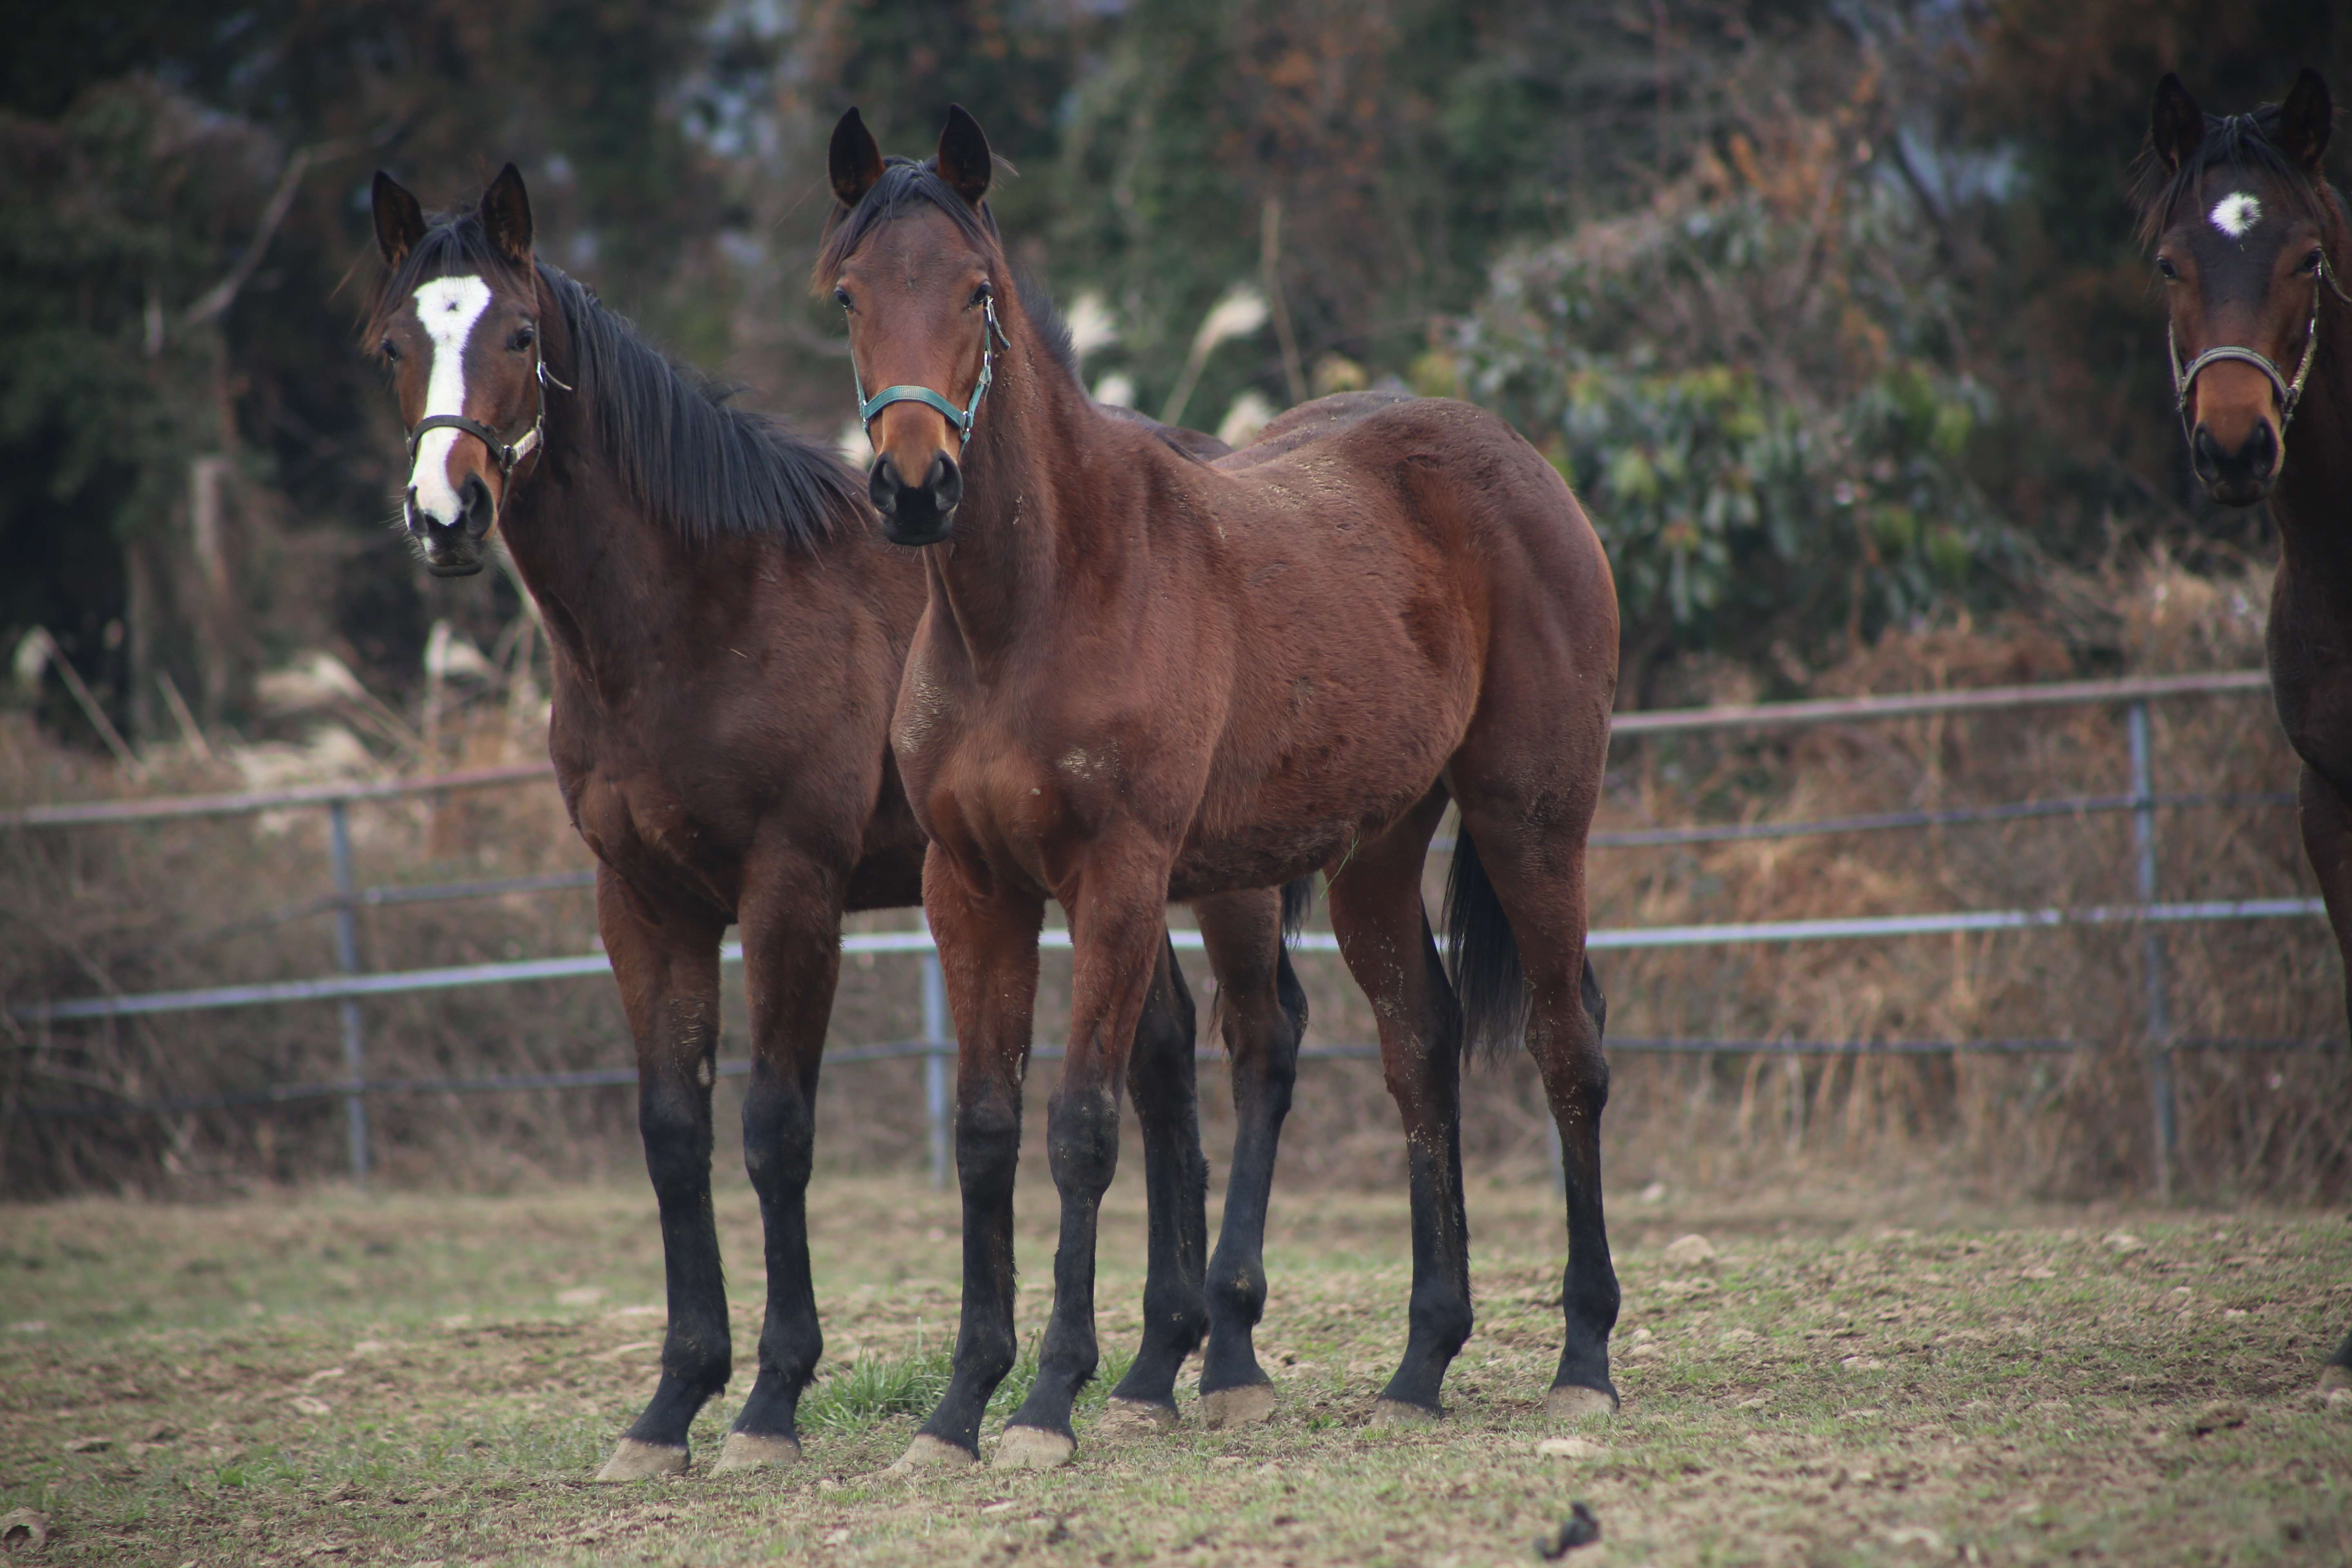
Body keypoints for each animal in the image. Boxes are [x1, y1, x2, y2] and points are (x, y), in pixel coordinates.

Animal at [362, 165, 1307, 1476]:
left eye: (514, 335)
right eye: (393, 344)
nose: (445, 511)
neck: (698, 613)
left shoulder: (789, 890)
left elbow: (775, 1131)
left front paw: (768, 1400)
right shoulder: (640, 900)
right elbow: (673, 1133)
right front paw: (670, 1404)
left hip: (1230, 879)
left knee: (1261, 1046)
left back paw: (1228, 1360)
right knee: (1164, 1062)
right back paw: (1150, 1367)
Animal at [823, 110, 1618, 1476]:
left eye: (977, 293)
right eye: (850, 297)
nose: (914, 486)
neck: (1035, 605)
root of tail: (1523, 464)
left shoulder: (1119, 880)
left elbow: (1085, 1125)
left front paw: (1047, 1401)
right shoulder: (972, 887)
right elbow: (987, 1130)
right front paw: (957, 1409)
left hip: (1533, 823)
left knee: (1569, 1050)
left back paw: (1585, 1362)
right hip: (1372, 856)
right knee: (1422, 1049)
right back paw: (1420, 1366)